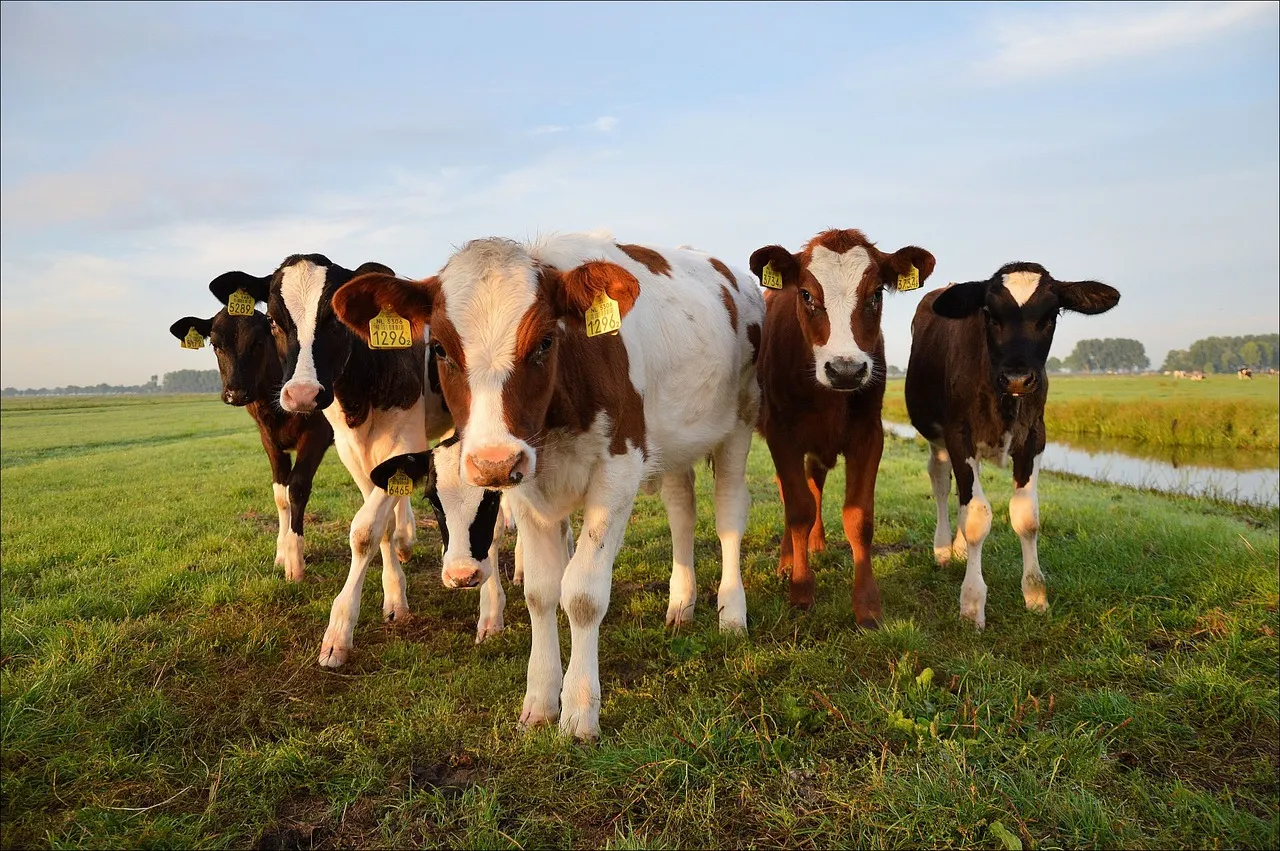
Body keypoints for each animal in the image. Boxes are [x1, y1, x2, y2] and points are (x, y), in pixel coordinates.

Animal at [168, 281, 333, 581]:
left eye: (258, 342)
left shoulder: (317, 434)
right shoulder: (269, 439)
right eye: (216, 345)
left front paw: (295, 561)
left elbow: (297, 488)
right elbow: (281, 495)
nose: (236, 392)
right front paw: (281, 554)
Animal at [332, 233, 764, 739]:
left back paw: (731, 612)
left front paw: (579, 709)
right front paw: (540, 699)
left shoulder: (619, 470)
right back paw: (681, 602)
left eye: (543, 342)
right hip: (675, 442)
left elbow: (582, 593)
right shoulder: (526, 484)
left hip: (740, 421)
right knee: (681, 510)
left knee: (729, 514)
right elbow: (541, 592)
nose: (493, 460)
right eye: (437, 348)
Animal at [749, 229, 935, 627]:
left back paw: (816, 544)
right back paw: (787, 561)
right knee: (791, 493)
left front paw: (867, 606)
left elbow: (858, 517)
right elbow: (798, 509)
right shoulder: (781, 434)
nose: (846, 370)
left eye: (876, 293)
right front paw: (801, 591)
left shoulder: (869, 434)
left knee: (815, 482)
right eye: (806, 294)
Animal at [905, 261, 1120, 629]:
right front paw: (972, 604)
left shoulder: (1034, 438)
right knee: (941, 483)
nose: (1018, 378)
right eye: (989, 314)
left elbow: (1026, 517)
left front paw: (1035, 594)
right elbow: (977, 517)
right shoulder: (959, 437)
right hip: (936, 438)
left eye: (1051, 315)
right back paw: (944, 549)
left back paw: (958, 548)